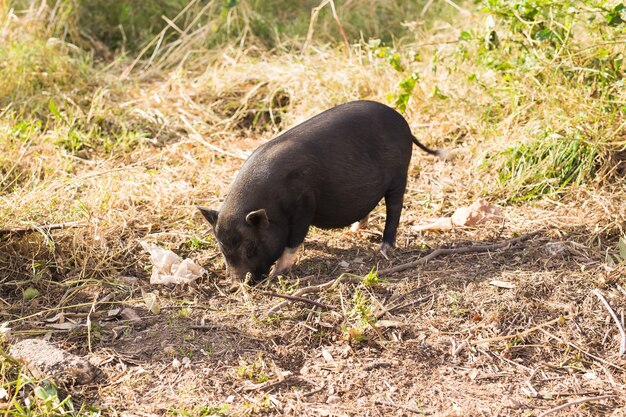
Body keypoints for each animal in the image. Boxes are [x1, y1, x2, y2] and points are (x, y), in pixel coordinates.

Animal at [199, 100, 438, 282]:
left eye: (251, 248)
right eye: (222, 248)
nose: (238, 282)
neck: (271, 204)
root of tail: (403, 123)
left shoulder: (304, 204)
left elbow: (294, 239)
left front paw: (278, 272)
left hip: (400, 174)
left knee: (395, 209)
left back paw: (384, 248)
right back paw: (352, 230)